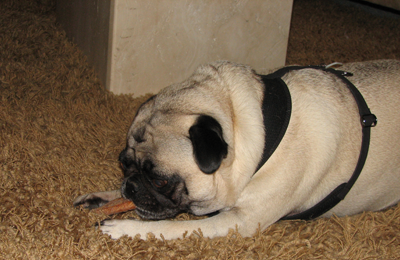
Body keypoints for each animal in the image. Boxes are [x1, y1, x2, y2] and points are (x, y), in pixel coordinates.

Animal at [73, 59, 400, 240]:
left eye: (160, 180)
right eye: (123, 163)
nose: (130, 185)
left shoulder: (239, 221)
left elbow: (168, 228)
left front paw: (125, 228)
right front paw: (103, 197)